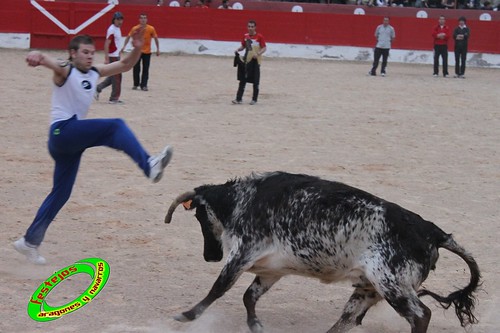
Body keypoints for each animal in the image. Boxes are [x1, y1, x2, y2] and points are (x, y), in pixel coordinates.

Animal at [164, 171, 480, 332]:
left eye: (199, 216)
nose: (210, 256)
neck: (242, 200)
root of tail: (432, 231)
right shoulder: (271, 270)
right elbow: (249, 296)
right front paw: (255, 324)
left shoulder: (241, 254)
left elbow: (218, 289)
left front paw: (187, 315)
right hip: (369, 288)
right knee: (348, 318)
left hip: (393, 286)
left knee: (420, 314)